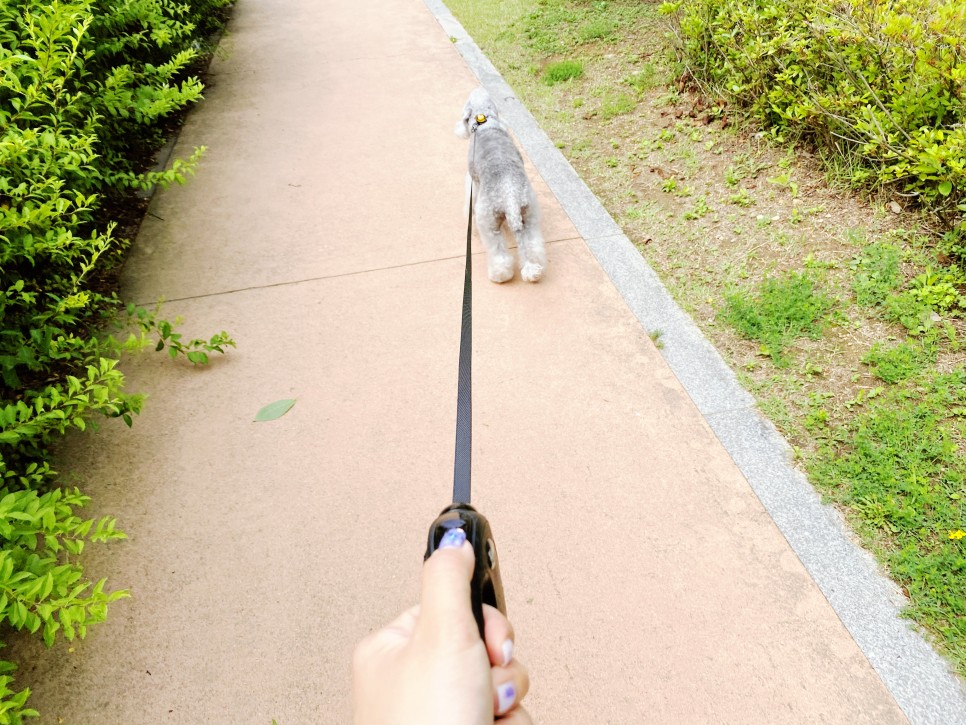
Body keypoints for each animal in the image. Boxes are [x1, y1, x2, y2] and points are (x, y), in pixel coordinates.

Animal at [458, 87, 548, 282]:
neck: (484, 121)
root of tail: (510, 198)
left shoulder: (472, 182)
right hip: (529, 214)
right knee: (532, 245)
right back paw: (534, 268)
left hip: (488, 223)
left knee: (499, 254)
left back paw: (499, 275)